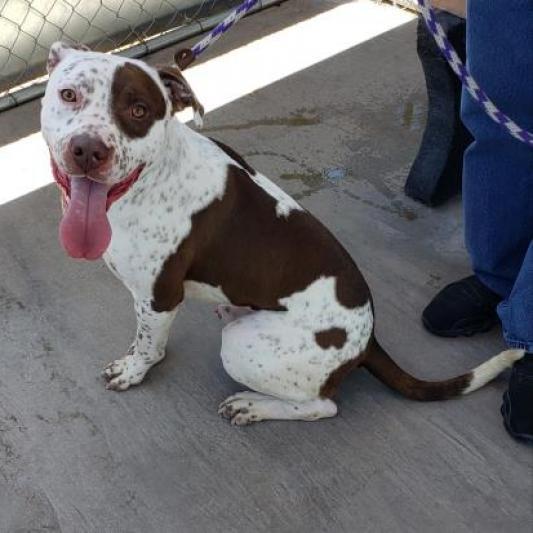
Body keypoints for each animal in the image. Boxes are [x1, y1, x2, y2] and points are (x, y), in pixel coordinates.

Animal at [40, 41, 524, 424]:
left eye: (138, 110)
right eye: (69, 94)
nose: (88, 150)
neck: (151, 177)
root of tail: (367, 341)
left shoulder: (159, 298)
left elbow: (147, 345)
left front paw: (133, 370)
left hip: (243, 347)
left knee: (323, 406)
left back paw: (253, 406)